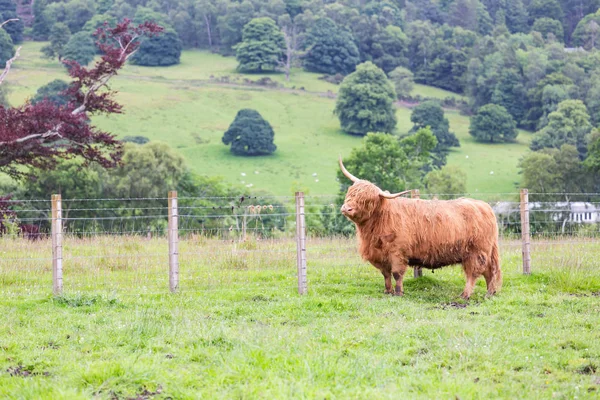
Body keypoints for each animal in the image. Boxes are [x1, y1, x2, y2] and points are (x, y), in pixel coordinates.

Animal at [338, 158, 502, 298]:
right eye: (350, 193)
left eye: (366, 200)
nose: (346, 208)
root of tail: (484, 206)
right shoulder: (380, 254)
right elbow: (386, 274)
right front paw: (387, 291)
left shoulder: (398, 253)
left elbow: (396, 274)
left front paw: (398, 293)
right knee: (489, 271)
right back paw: (489, 293)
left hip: (476, 252)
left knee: (474, 273)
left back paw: (465, 295)